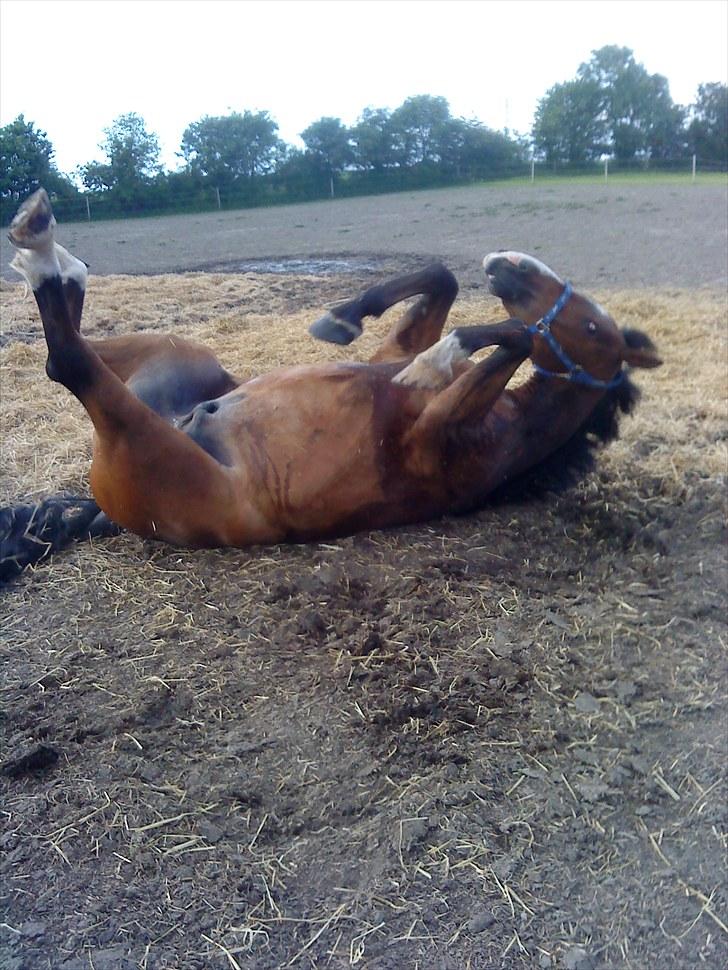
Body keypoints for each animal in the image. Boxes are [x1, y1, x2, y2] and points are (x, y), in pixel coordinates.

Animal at [2, 188, 661, 579]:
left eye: (593, 326)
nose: (508, 264)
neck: (510, 431)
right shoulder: (394, 355)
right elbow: (441, 280)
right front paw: (344, 318)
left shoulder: (430, 436)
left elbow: (519, 338)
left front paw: (441, 356)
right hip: (172, 353)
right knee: (73, 345)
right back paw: (60, 257)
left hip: (143, 441)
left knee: (68, 363)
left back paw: (41, 248)